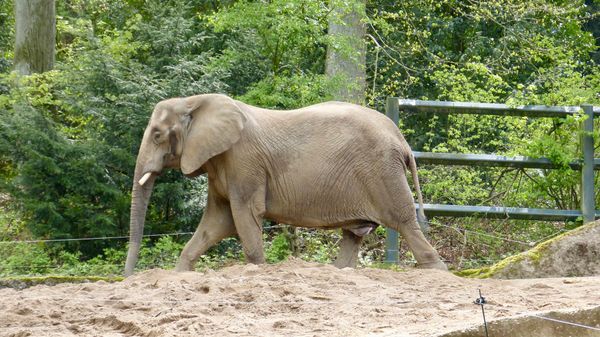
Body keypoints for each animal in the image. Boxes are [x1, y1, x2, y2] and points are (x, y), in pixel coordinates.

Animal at [124, 92, 448, 276]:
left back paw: (436, 271)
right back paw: (338, 272)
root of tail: (402, 140)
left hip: (382, 172)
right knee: (354, 234)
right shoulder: (221, 165)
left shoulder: (244, 161)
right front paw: (179, 274)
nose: (128, 277)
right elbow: (216, 222)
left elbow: (243, 215)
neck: (195, 103)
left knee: (404, 222)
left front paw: (257, 270)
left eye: (157, 135)